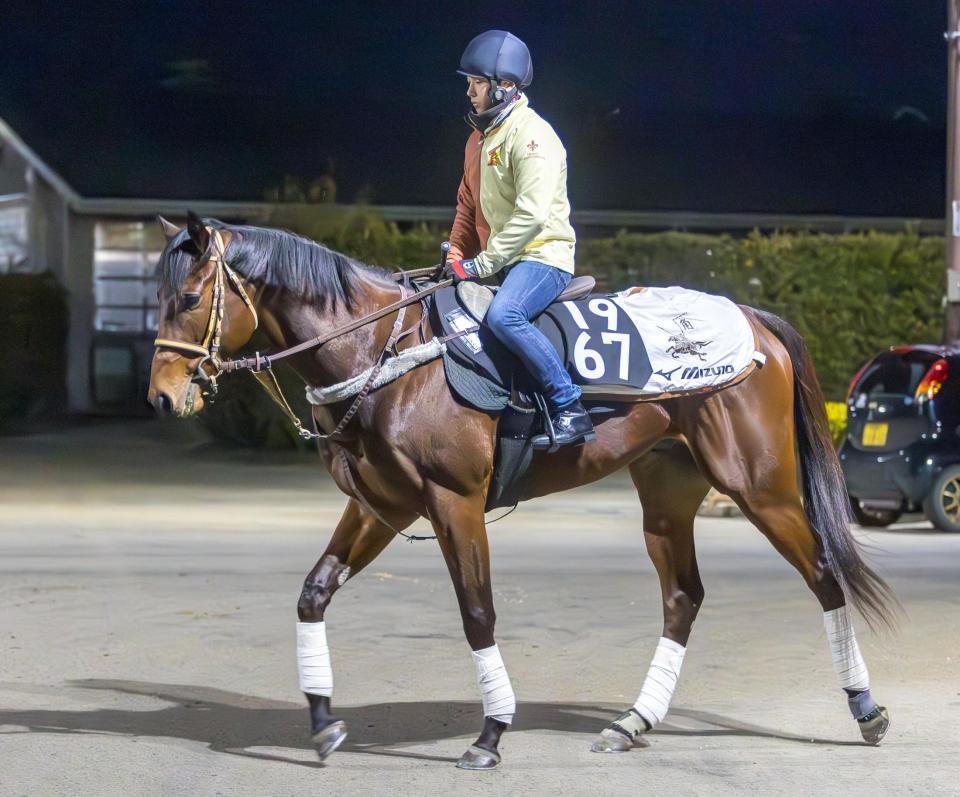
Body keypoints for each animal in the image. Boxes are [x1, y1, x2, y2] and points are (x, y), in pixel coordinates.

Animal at [146, 215, 896, 768]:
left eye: (189, 298)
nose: (161, 396)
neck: (386, 353)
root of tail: (752, 316)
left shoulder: (454, 502)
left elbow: (477, 612)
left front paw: (491, 732)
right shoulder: (379, 507)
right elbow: (314, 592)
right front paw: (325, 722)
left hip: (761, 486)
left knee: (824, 574)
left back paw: (866, 709)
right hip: (667, 487)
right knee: (683, 596)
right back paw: (633, 720)